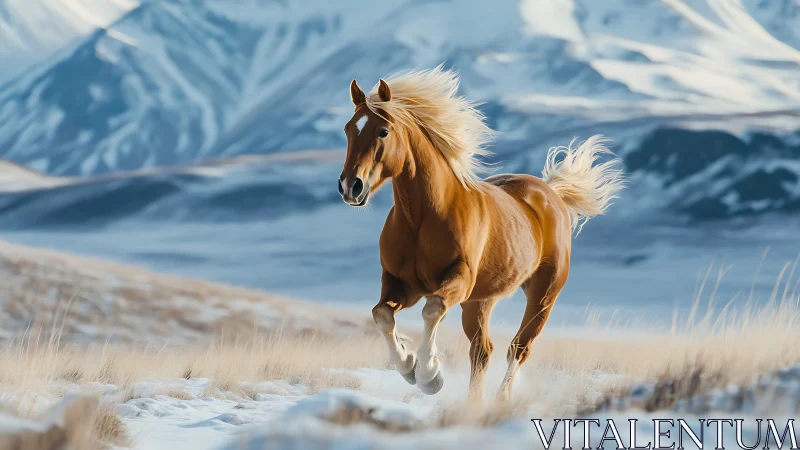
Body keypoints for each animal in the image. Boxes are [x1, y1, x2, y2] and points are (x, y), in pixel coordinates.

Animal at [338, 67, 625, 401]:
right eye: (348, 129)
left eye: (383, 131)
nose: (350, 186)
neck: (422, 220)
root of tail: (550, 191)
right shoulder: (400, 284)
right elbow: (381, 314)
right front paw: (409, 365)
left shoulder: (457, 280)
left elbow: (432, 309)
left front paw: (429, 376)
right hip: (480, 302)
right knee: (482, 351)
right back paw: (472, 404)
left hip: (543, 295)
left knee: (519, 348)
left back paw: (501, 400)